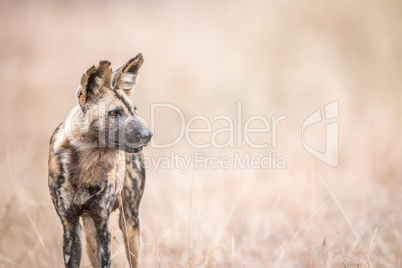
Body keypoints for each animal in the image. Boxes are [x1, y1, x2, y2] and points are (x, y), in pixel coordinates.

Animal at [48, 54, 152, 268]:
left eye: (134, 110)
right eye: (113, 113)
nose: (148, 134)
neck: (87, 165)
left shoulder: (103, 226)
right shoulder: (70, 227)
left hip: (130, 224)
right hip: (89, 235)